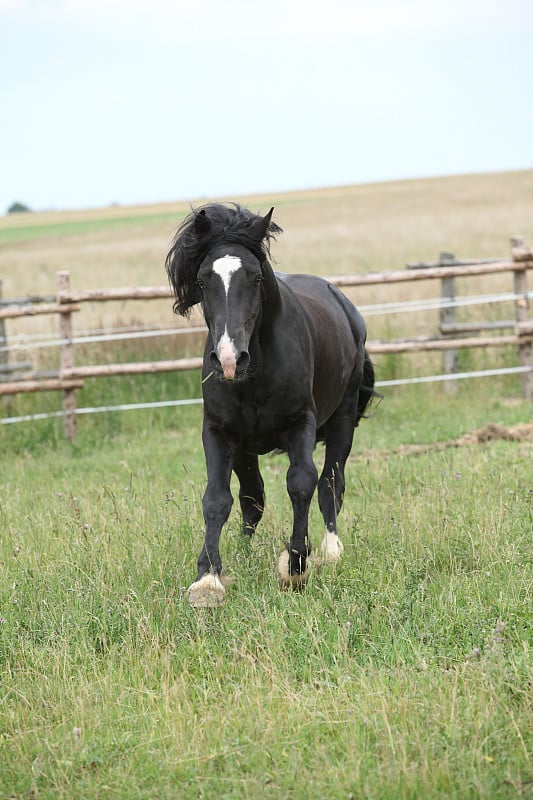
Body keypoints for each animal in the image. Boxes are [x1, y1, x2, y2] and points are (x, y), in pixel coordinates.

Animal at [165, 205, 374, 608]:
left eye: (256, 278)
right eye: (202, 280)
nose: (229, 360)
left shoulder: (300, 425)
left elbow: (302, 484)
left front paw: (295, 567)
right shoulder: (220, 433)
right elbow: (219, 500)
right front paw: (208, 579)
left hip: (342, 420)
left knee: (331, 485)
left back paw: (330, 551)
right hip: (247, 449)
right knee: (253, 500)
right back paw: (244, 555)